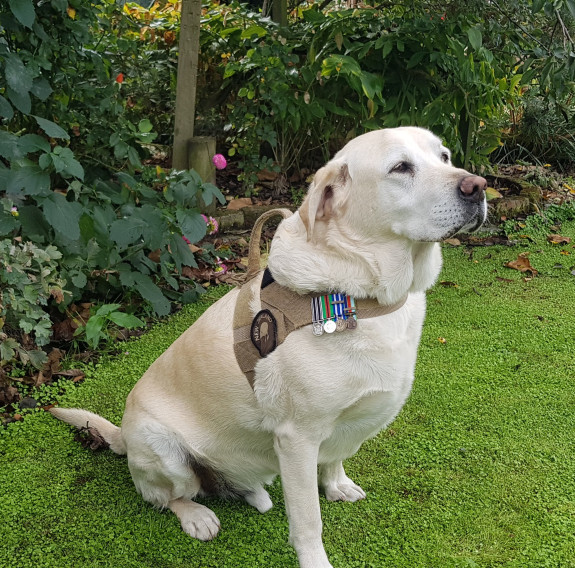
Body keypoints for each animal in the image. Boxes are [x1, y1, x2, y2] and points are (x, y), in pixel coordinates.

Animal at [51, 127, 488, 568]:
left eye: (444, 156)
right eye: (400, 167)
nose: (478, 186)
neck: (357, 292)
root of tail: (122, 435)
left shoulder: (341, 425)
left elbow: (336, 456)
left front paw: (336, 484)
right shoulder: (297, 439)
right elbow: (309, 521)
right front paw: (315, 560)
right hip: (163, 450)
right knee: (167, 497)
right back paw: (196, 516)